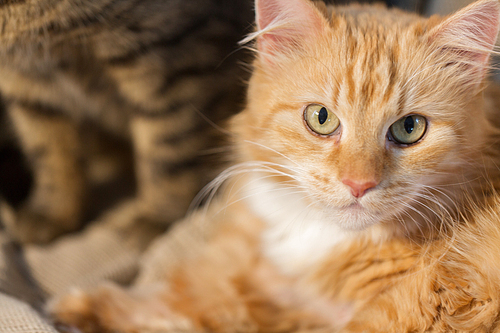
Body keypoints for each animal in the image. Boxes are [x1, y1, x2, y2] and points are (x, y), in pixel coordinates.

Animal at [0, 0, 252, 244]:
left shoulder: (171, 63)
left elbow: (168, 152)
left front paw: (158, 217)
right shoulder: (26, 88)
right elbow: (50, 155)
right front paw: (52, 212)